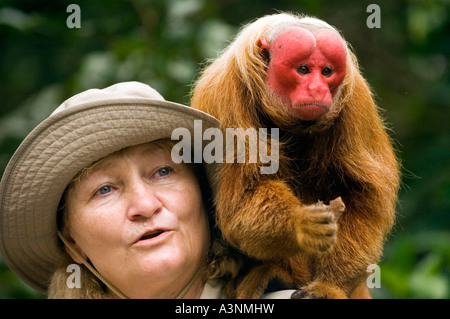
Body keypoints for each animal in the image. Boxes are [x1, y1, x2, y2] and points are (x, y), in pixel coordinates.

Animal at [191, 11, 400, 298]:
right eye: (303, 70)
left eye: (326, 72)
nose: (317, 89)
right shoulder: (225, 96)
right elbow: (242, 199)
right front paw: (301, 225)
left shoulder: (355, 99)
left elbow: (361, 197)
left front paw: (328, 285)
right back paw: (277, 276)